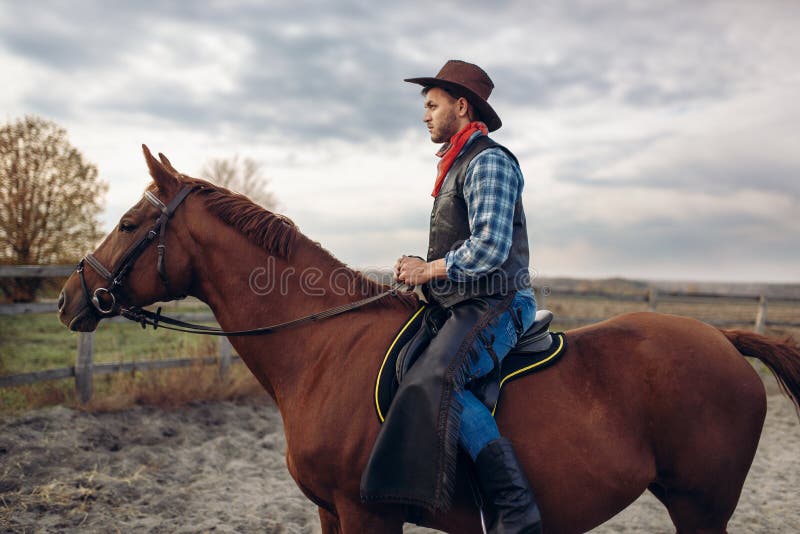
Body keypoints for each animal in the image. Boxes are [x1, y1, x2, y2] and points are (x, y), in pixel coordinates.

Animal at [57, 146, 800, 534]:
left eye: (128, 224)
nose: (69, 297)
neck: (323, 350)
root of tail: (723, 339)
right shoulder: (330, 511)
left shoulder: (366, 513)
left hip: (701, 505)